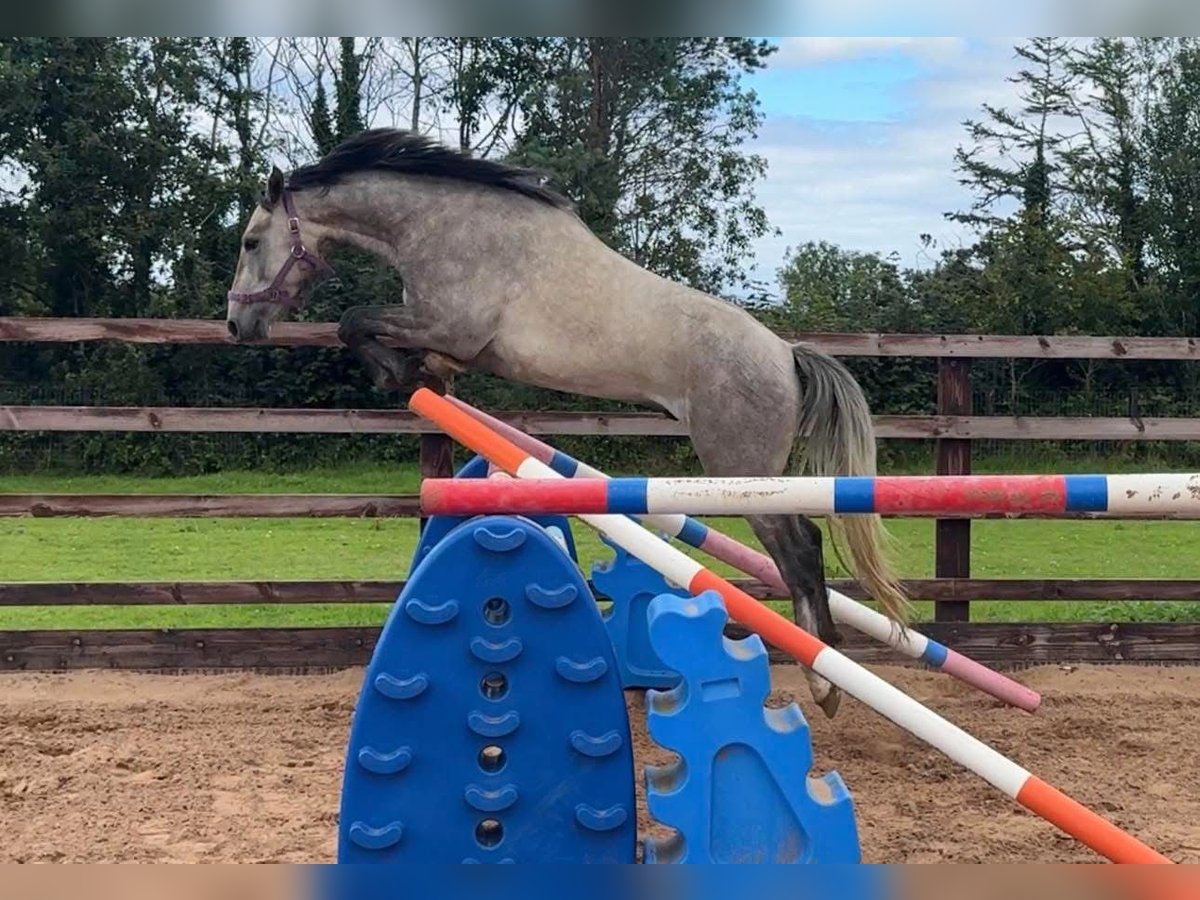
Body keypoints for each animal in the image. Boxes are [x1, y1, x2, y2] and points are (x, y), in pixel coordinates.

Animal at [225, 128, 911, 717]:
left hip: (742, 470)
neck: (439, 225)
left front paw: (398, 372)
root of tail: (786, 356)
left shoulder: (449, 324)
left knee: (801, 548)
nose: (237, 325)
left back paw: (826, 683)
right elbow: (370, 329)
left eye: (252, 242)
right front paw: (416, 374)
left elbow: (354, 319)